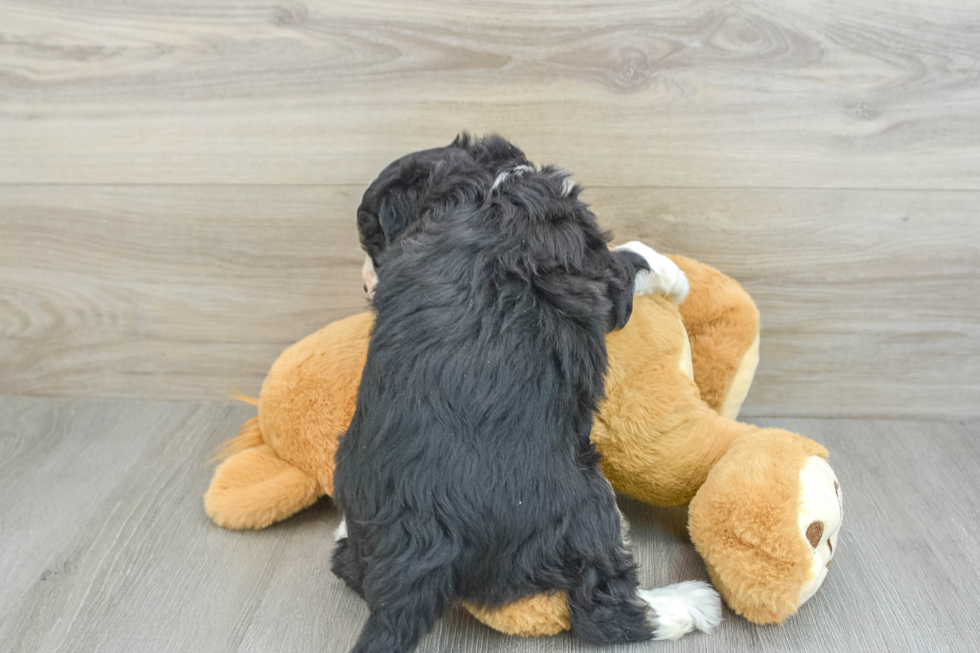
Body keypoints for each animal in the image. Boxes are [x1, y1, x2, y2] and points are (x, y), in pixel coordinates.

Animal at [334, 135, 716, 648]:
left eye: (375, 243)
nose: (364, 284)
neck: (480, 189)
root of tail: (415, 555)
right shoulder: (593, 263)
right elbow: (629, 260)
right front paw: (674, 275)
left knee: (349, 567)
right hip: (584, 500)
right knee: (604, 608)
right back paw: (690, 604)